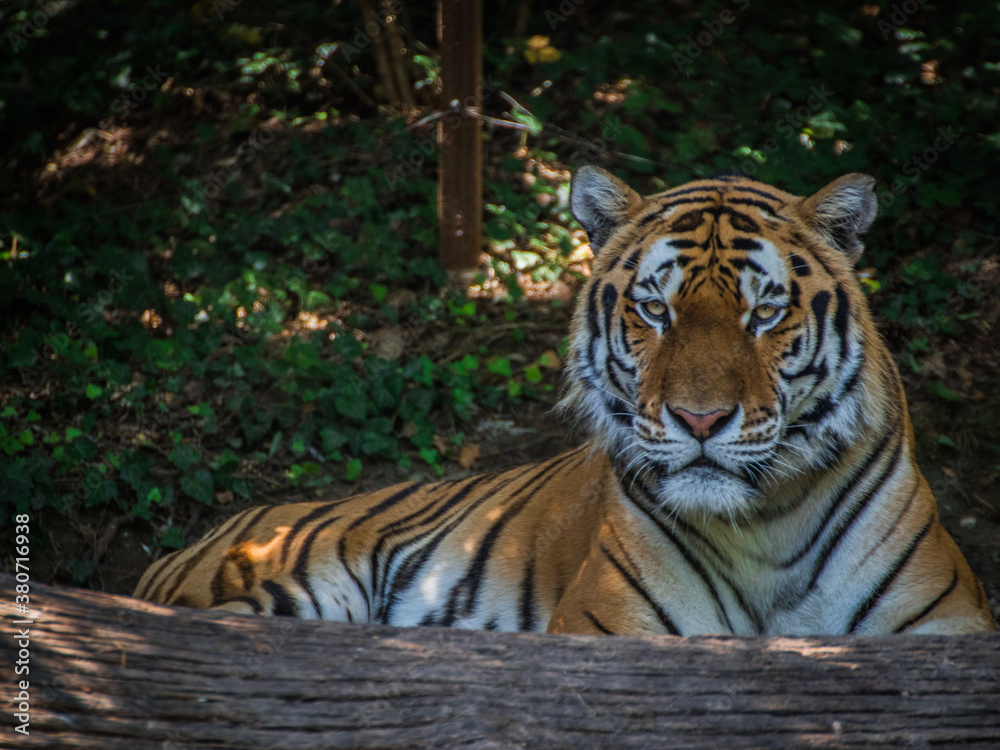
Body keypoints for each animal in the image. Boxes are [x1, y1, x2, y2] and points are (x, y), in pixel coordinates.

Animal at [135, 166, 997, 636]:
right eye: (656, 310)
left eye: (764, 313)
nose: (700, 421)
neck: (765, 532)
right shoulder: (610, 625)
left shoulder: (944, 622)